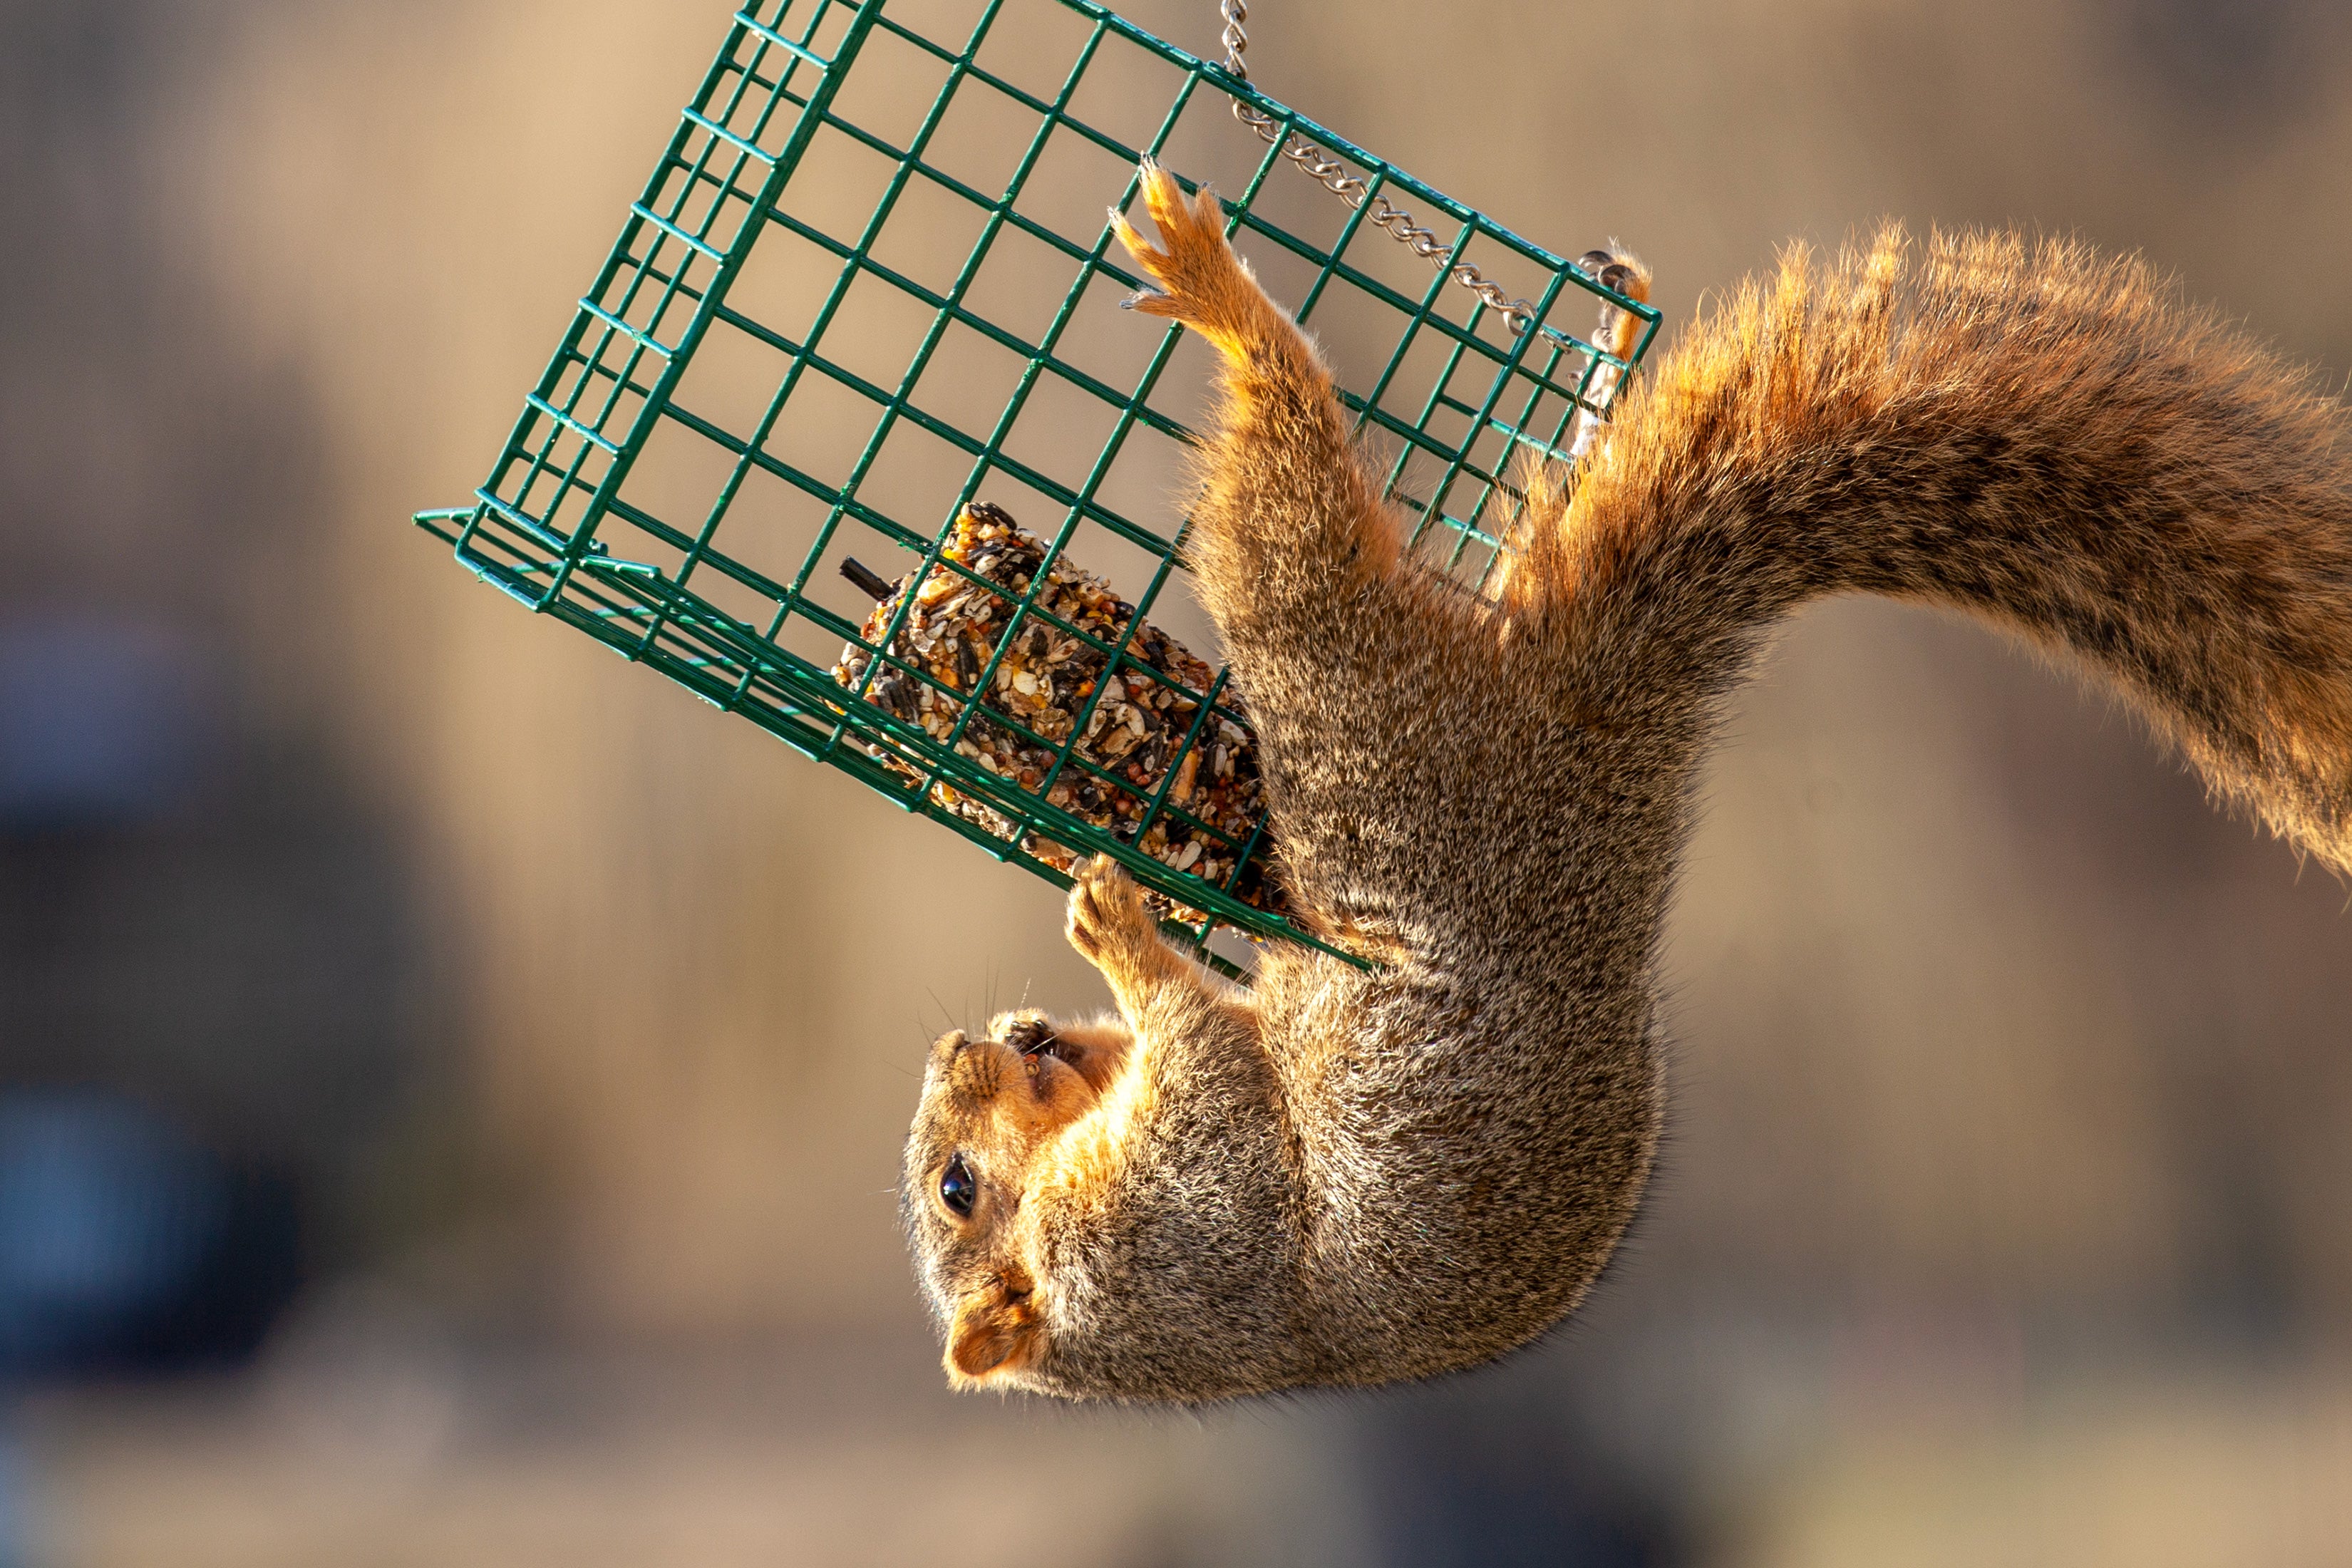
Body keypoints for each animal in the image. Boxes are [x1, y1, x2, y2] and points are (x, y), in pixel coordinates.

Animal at [901, 160, 2352, 1404]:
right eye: (956, 1191)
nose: (968, 1040)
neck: (1095, 1297)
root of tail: (1593, 730)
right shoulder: (1185, 1219)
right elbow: (1211, 1076)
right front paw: (1117, 929)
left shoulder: (1176, 1212)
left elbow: (1203, 1046)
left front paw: (1105, 943)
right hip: (1377, 744)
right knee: (1297, 530)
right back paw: (1236, 308)